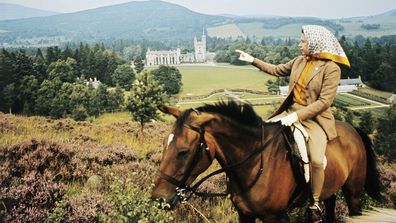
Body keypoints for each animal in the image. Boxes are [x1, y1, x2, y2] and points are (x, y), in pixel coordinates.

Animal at [151, 101, 380, 223]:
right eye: (163, 144)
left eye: (183, 151)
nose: (158, 199)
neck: (254, 165)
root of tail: (353, 130)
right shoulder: (245, 214)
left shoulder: (272, 217)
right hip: (329, 191)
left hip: (353, 193)